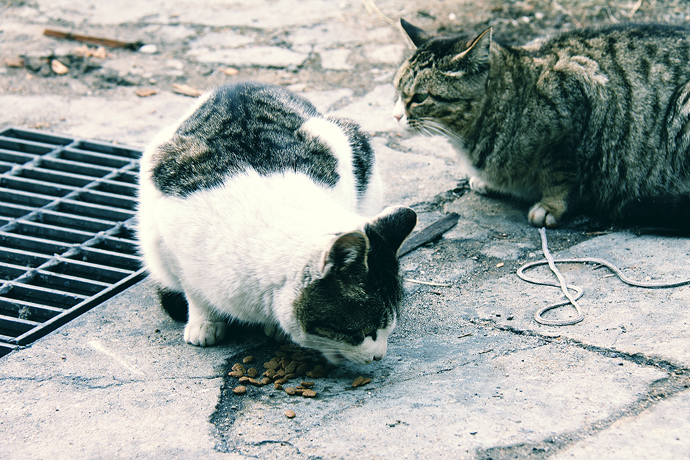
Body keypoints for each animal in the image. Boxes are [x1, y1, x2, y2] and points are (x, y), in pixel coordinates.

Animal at [136, 82, 414, 362]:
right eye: (364, 331)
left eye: (389, 328)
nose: (379, 356)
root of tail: (241, 84)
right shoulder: (171, 241)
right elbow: (194, 290)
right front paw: (204, 321)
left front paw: (276, 329)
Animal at [392, 20, 688, 230]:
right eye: (396, 89)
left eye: (419, 97)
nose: (395, 116)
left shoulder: (577, 105)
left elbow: (560, 174)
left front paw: (551, 206)